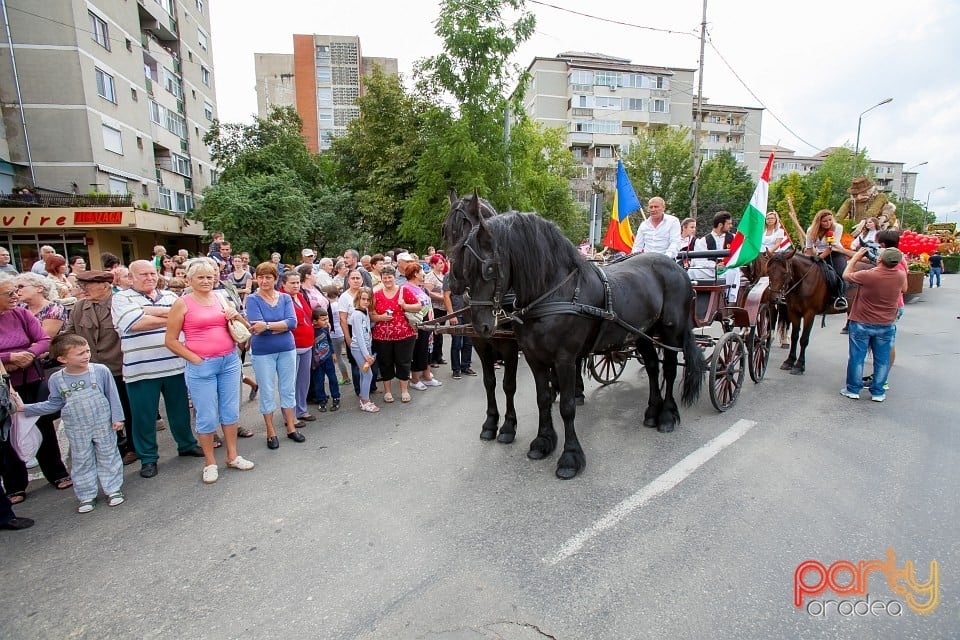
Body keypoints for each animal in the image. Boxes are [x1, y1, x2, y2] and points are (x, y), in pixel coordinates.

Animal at [448, 198, 704, 478]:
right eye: (464, 264)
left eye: (489, 268)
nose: (481, 325)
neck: (555, 292)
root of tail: (676, 267)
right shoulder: (534, 357)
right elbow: (542, 399)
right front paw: (543, 441)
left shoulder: (563, 360)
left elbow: (566, 406)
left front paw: (570, 457)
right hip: (643, 335)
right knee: (652, 368)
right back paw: (652, 412)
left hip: (670, 332)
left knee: (668, 368)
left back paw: (667, 416)